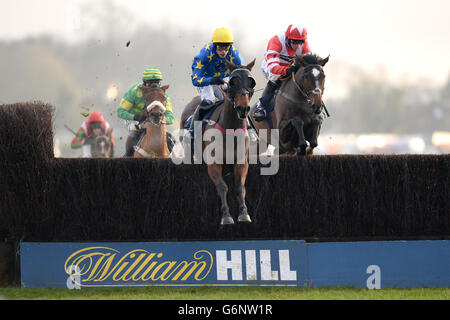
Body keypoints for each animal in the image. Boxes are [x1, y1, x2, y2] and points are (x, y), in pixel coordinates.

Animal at [180, 58, 256, 226]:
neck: (230, 130)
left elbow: (239, 187)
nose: (243, 109)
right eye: (233, 82)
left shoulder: (241, 163)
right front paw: (226, 216)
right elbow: (222, 187)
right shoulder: (213, 163)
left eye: (251, 82)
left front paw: (244, 213)